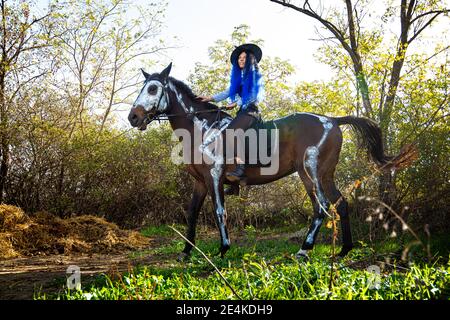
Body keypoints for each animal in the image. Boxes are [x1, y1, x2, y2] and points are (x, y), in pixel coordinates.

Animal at [127, 64, 414, 260]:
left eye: (153, 88)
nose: (133, 117)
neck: (201, 128)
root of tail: (332, 120)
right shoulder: (200, 181)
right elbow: (192, 213)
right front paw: (186, 252)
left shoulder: (214, 177)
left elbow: (219, 211)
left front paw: (223, 249)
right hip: (325, 174)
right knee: (341, 204)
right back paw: (344, 249)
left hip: (309, 172)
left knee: (321, 207)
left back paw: (304, 250)